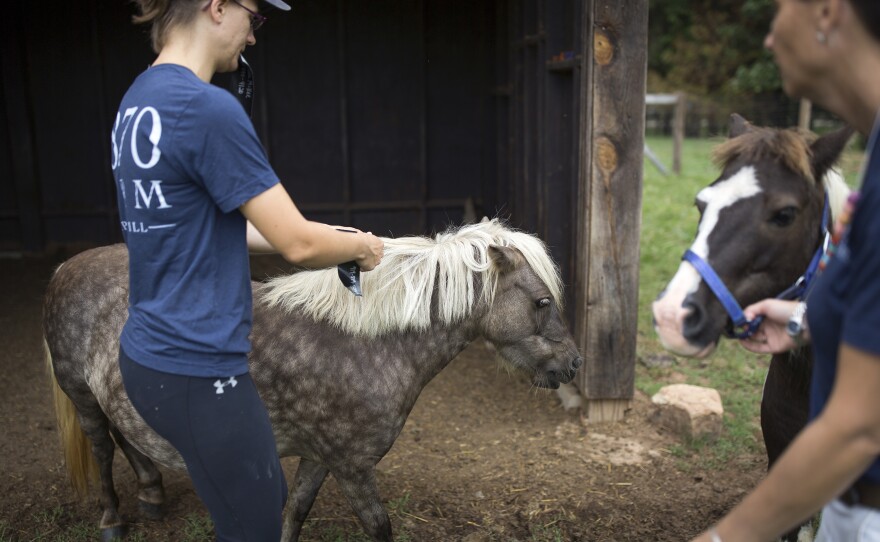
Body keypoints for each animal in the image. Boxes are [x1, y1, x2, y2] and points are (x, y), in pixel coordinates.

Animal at [46, 219, 584, 540]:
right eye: (542, 301)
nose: (574, 364)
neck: (364, 343)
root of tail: (66, 266)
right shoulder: (351, 467)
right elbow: (379, 527)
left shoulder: (320, 458)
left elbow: (295, 512)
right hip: (81, 395)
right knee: (102, 447)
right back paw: (113, 518)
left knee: (125, 436)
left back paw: (151, 493)